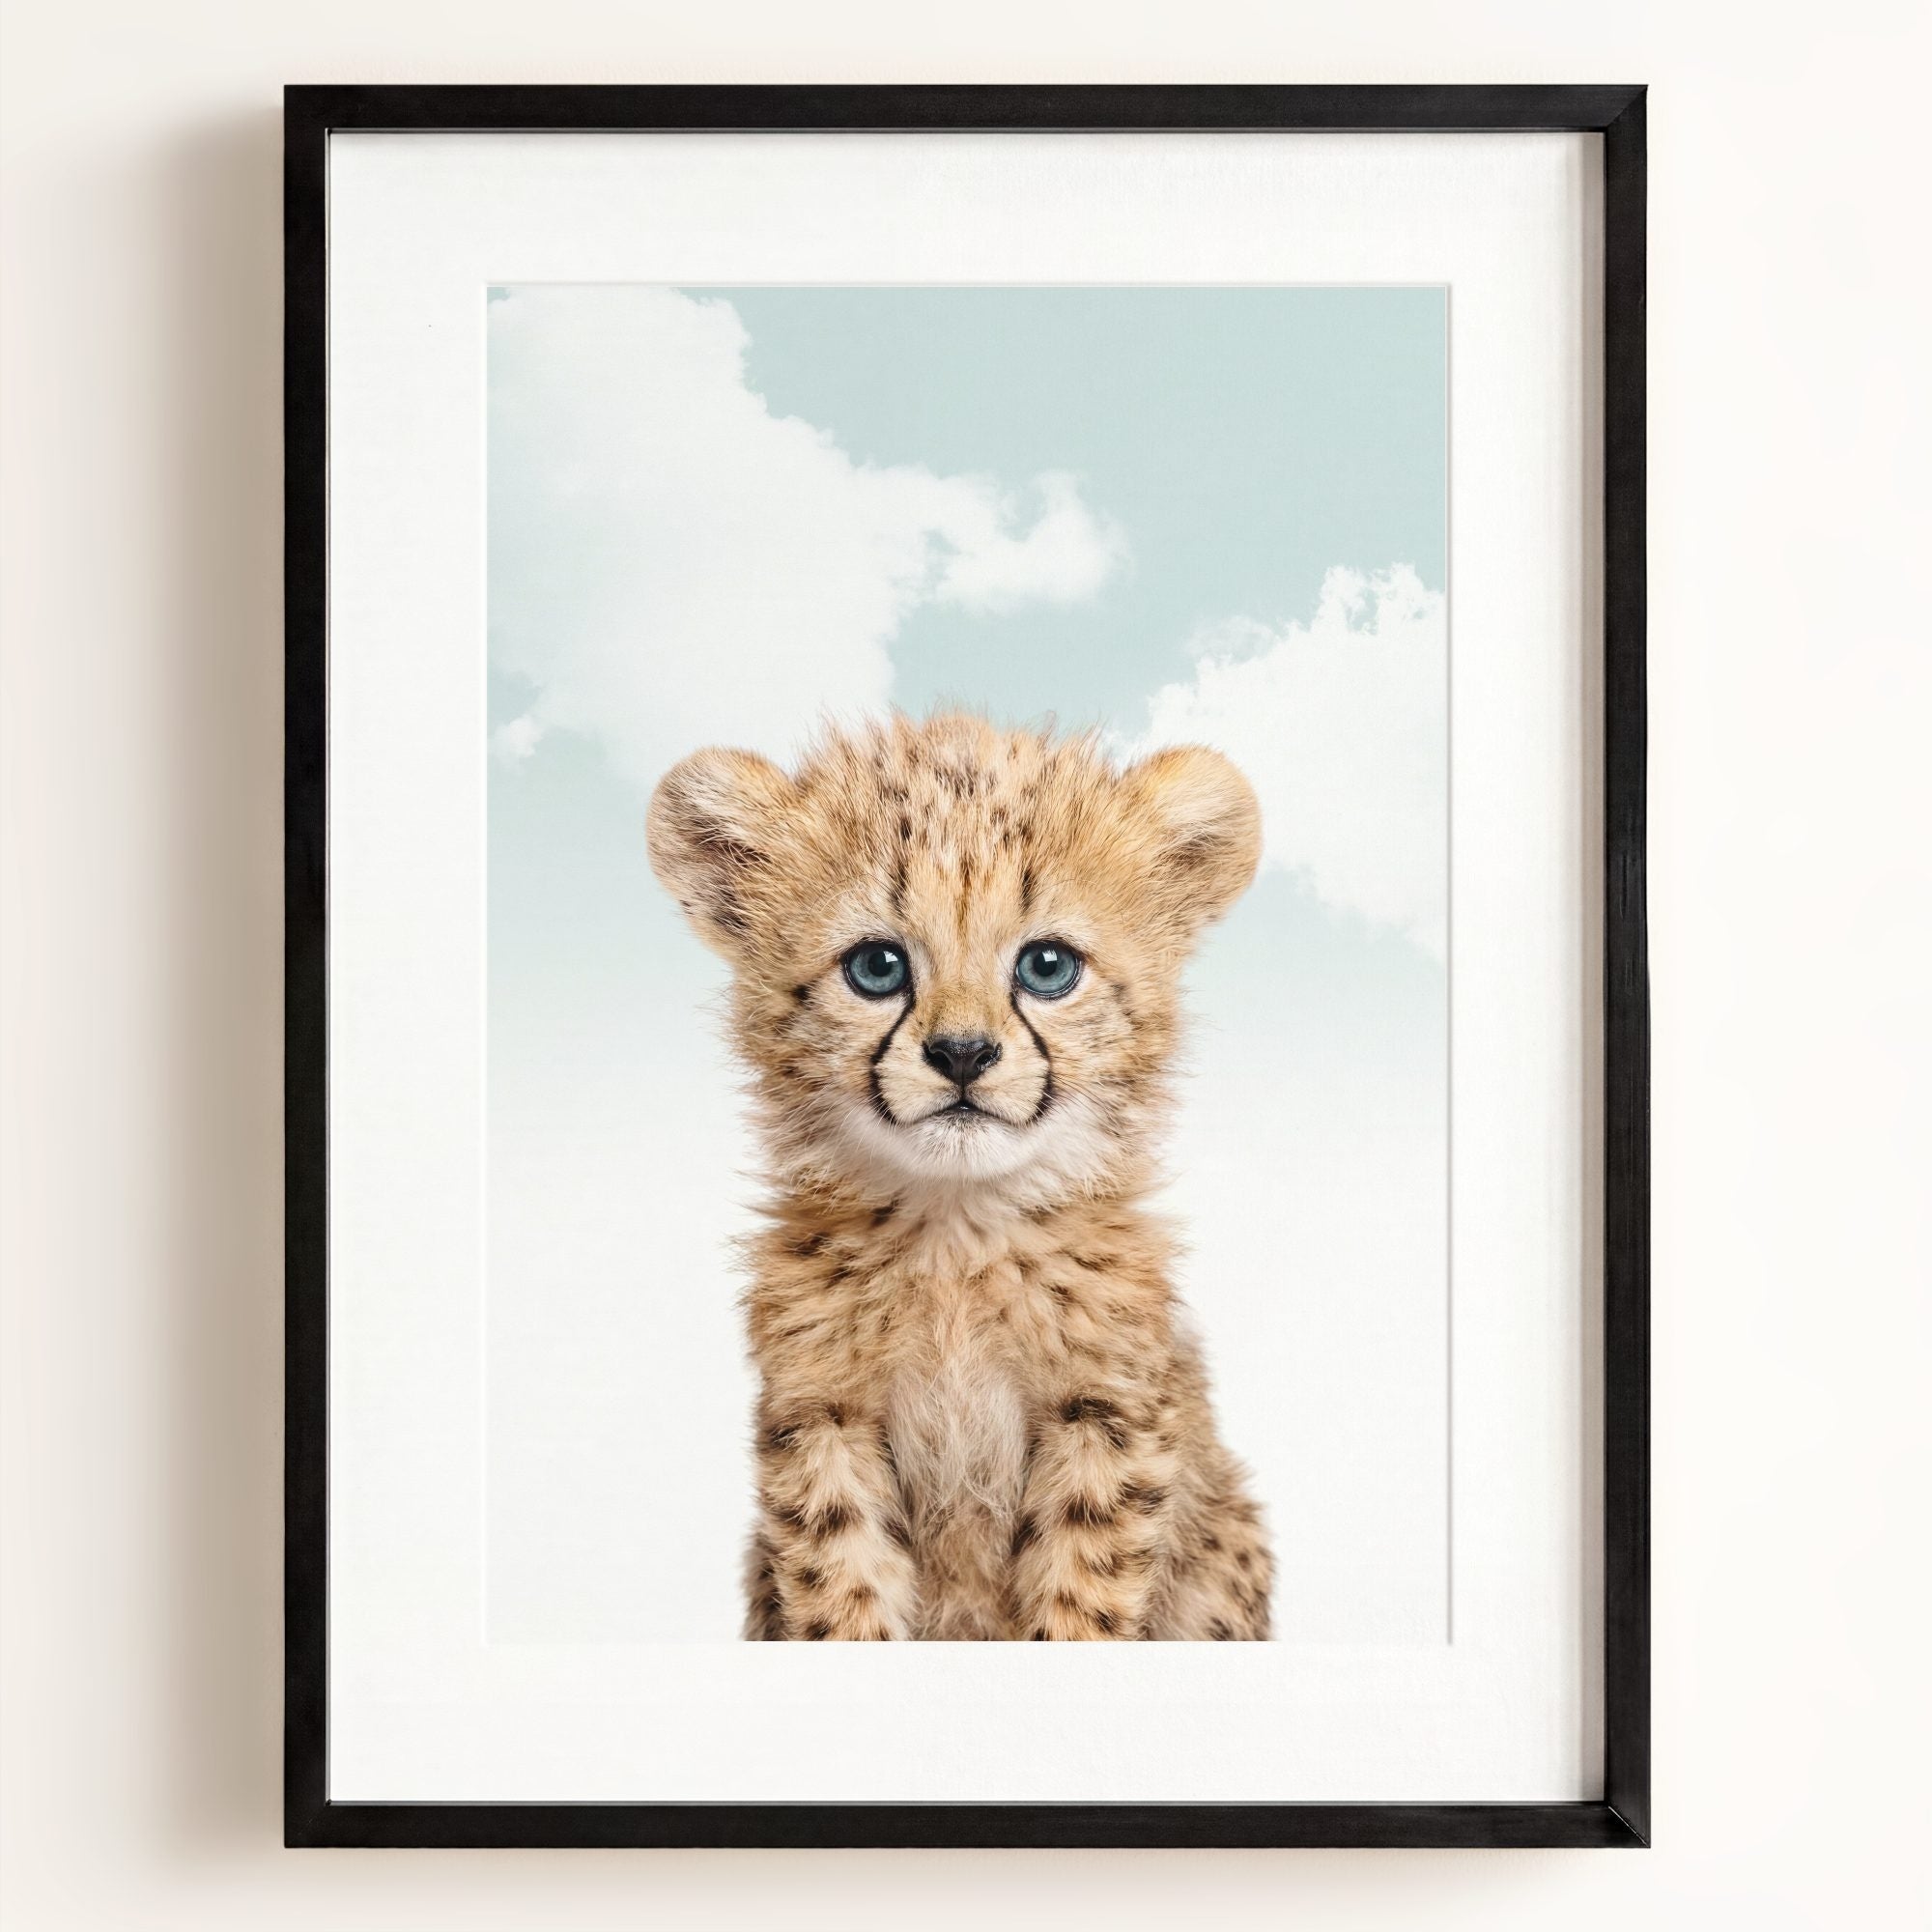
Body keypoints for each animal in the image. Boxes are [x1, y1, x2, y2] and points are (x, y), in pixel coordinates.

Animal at [647, 711, 1272, 1639]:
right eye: (877, 966)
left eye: (1047, 966)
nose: (964, 1054)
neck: (957, 1232)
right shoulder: (822, 1419)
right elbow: (842, 1592)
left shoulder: (1105, 1415)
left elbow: (1081, 1597)